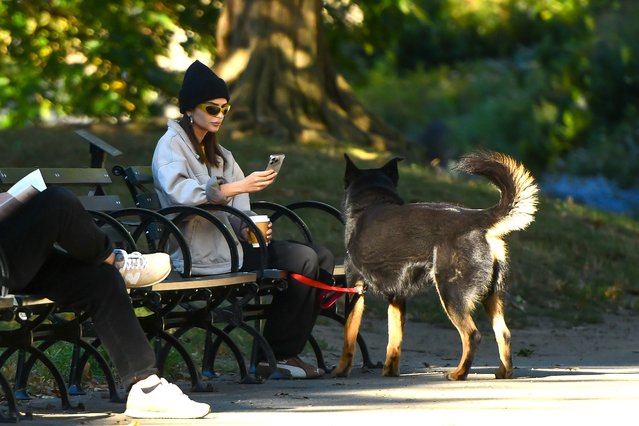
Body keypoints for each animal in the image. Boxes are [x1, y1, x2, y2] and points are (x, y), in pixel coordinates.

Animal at [336, 150, 540, 380]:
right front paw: (390, 372)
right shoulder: (397, 297)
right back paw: (503, 372)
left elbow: (349, 338)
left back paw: (459, 373)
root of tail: (478, 218)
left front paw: (339, 371)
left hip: (451, 293)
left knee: (472, 335)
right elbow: (395, 340)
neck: (372, 203)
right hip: (492, 295)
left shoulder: (355, 289)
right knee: (504, 333)